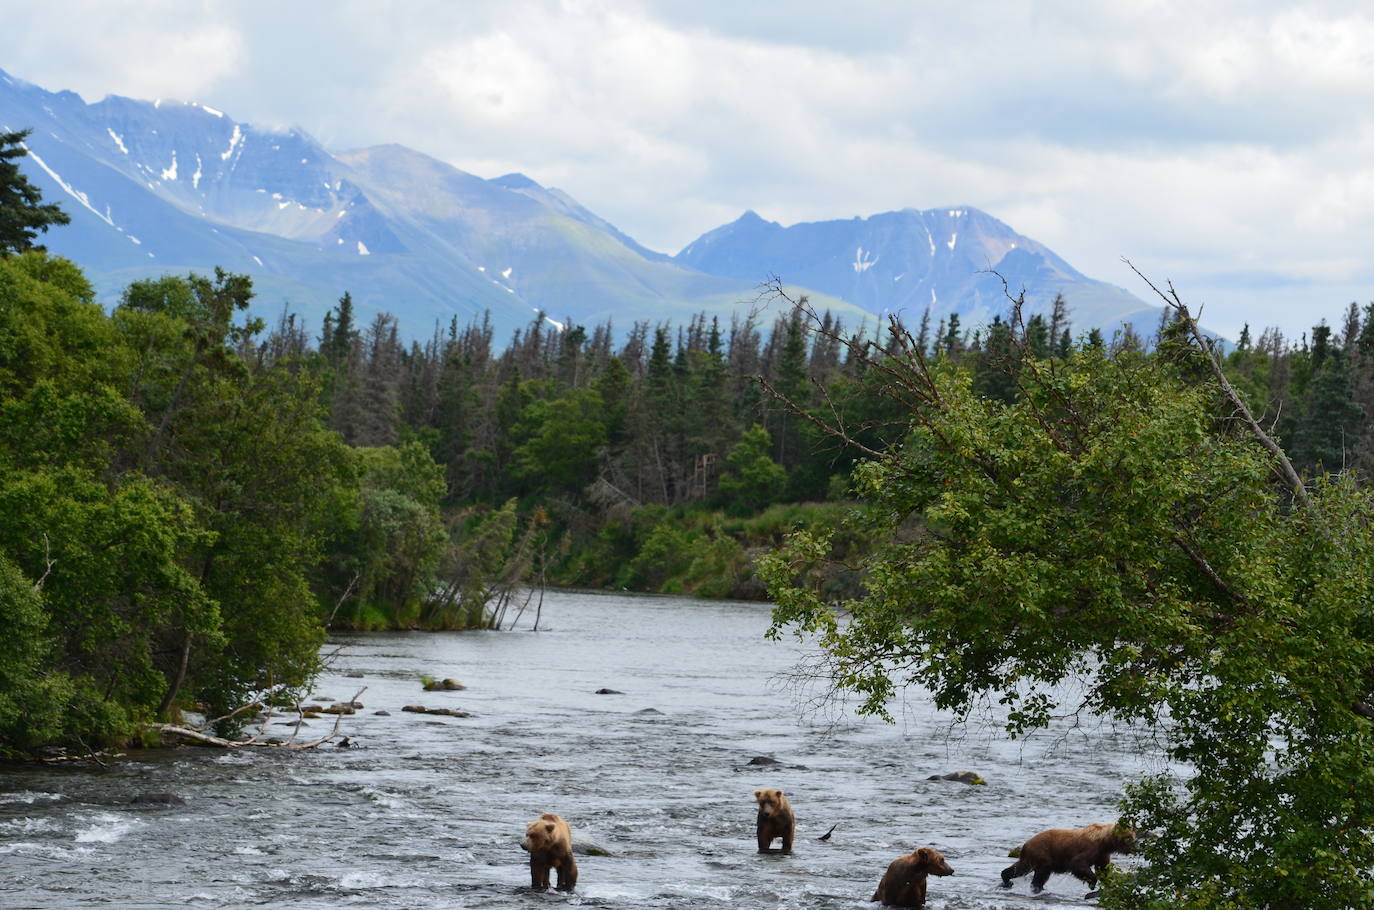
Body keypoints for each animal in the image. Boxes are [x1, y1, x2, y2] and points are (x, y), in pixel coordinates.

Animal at [1000, 824, 1137, 896]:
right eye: (1129, 838)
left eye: (1133, 836)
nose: (1134, 847)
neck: (1105, 841)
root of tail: (1025, 844)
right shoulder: (1089, 849)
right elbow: (1078, 864)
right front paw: (1092, 883)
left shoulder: (1101, 854)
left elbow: (1103, 870)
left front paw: (1110, 885)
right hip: (1043, 853)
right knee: (1041, 872)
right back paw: (1036, 888)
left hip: (1031, 857)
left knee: (1020, 868)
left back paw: (1007, 880)